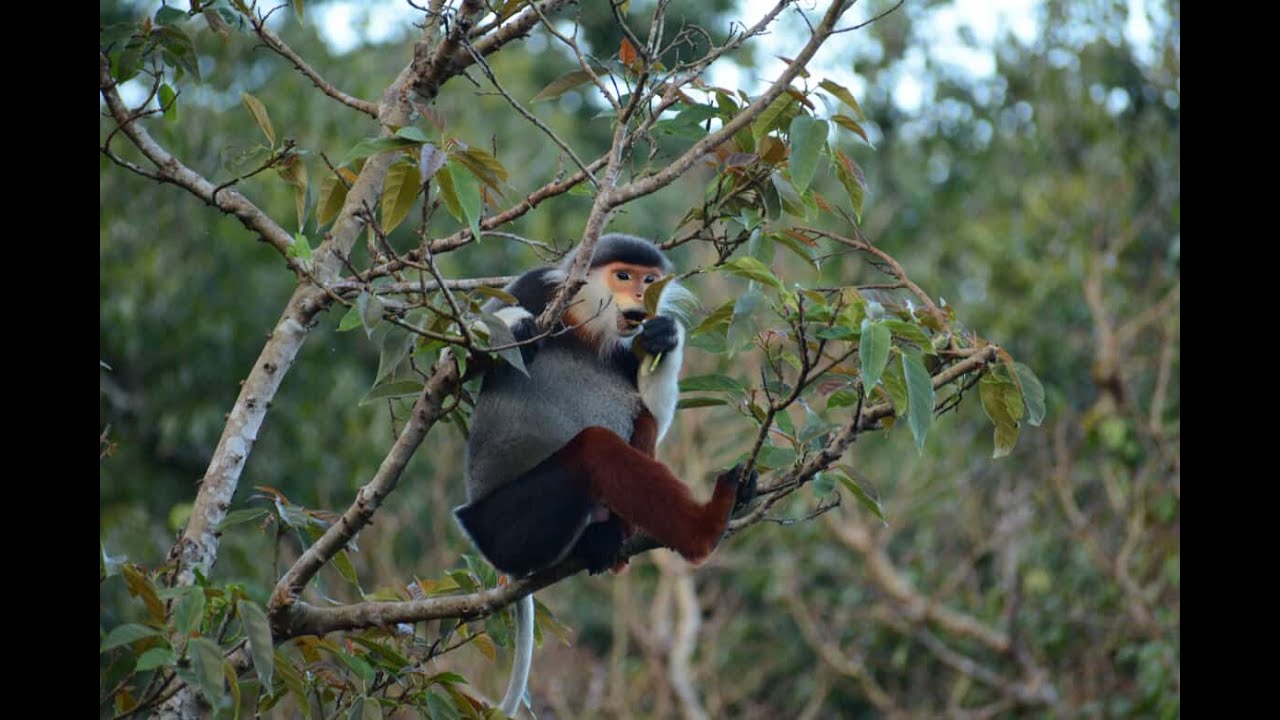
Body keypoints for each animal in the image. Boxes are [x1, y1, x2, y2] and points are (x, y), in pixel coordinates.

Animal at [452, 233, 756, 716]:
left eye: (649, 280)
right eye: (623, 275)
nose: (639, 299)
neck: (584, 323)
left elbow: (655, 412)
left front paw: (668, 338)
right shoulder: (531, 287)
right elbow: (454, 359)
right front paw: (517, 328)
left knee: (637, 421)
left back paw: (612, 540)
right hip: (507, 530)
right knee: (595, 449)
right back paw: (709, 526)